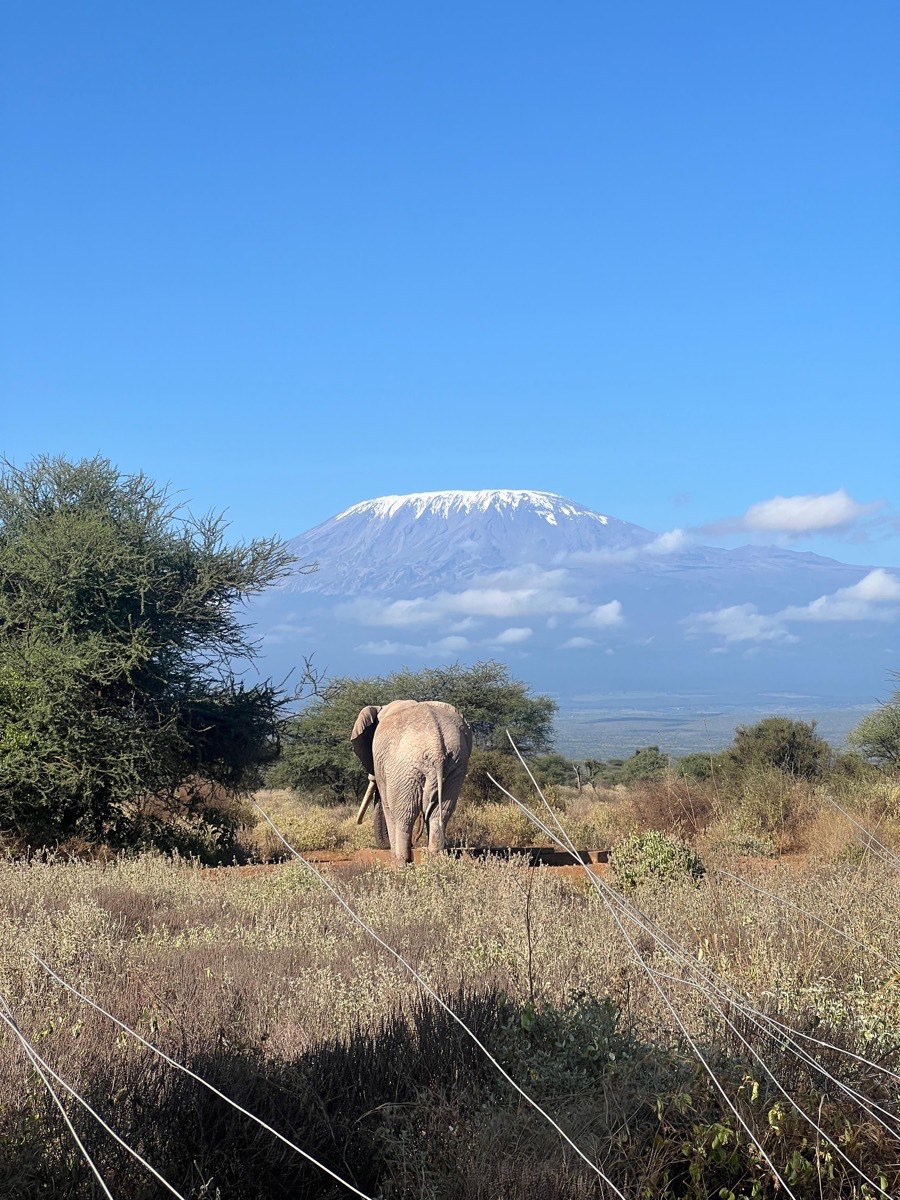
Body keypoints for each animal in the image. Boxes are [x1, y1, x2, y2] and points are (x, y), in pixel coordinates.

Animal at [350, 700, 473, 864]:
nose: (415, 843)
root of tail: (436, 749)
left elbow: (387, 805)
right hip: (456, 764)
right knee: (440, 812)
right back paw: (435, 861)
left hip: (405, 767)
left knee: (404, 815)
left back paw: (399, 862)